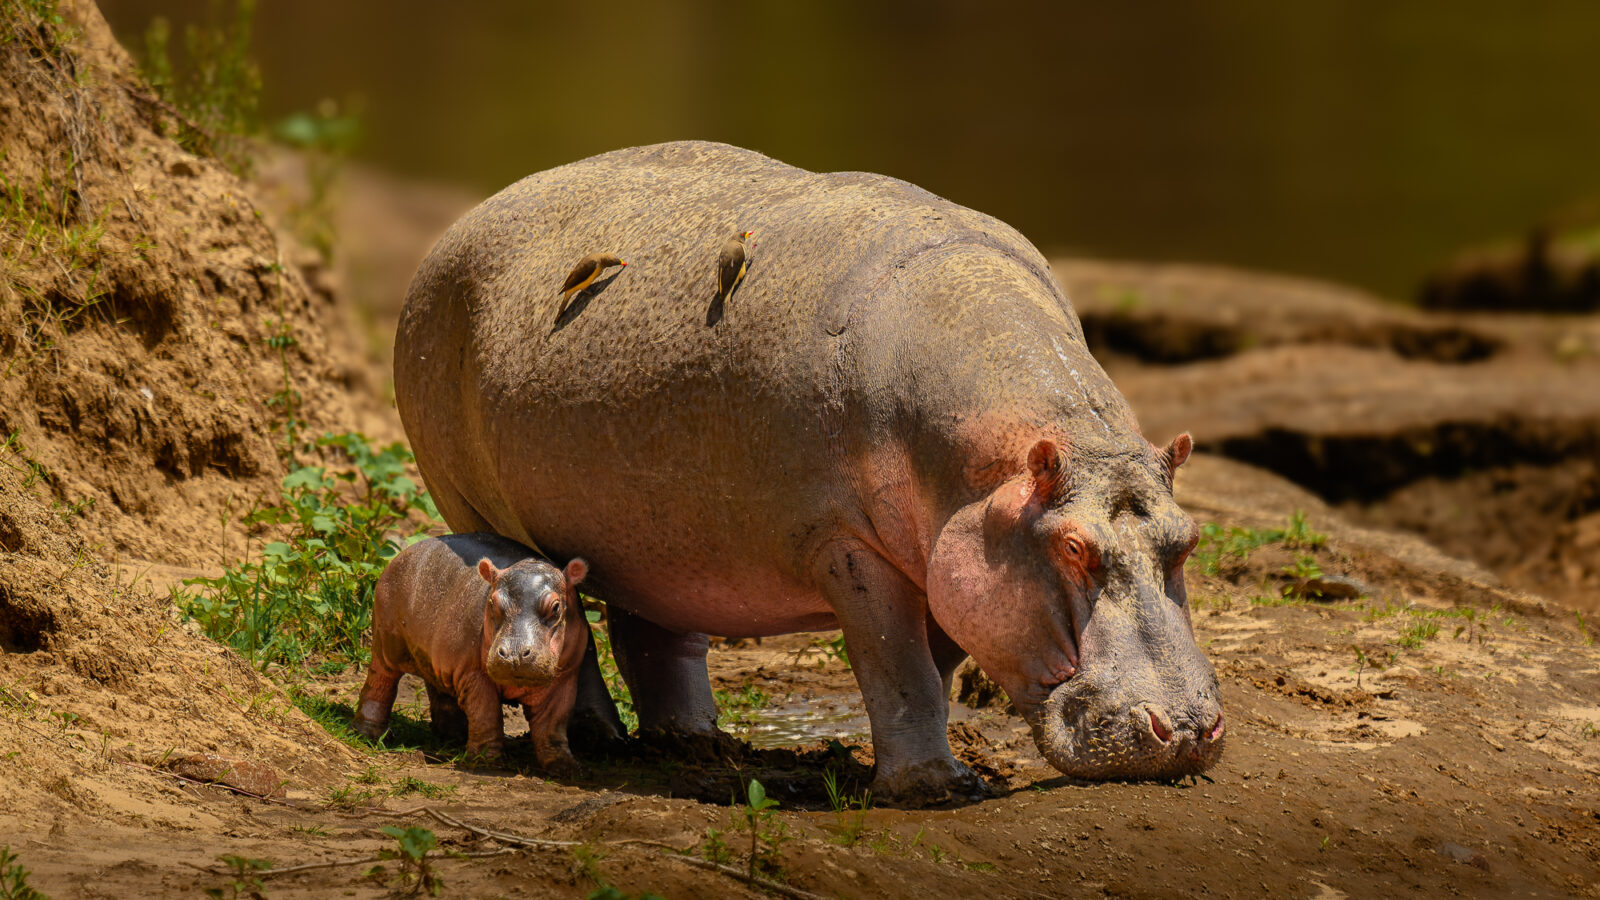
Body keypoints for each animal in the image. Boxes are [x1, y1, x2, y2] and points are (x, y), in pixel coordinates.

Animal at [352, 533, 595, 773]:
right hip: (386, 643)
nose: (514, 654)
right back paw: (370, 735)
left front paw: (564, 767)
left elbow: (552, 724)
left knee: (440, 692)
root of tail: (404, 552)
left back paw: (453, 738)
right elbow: (485, 713)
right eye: (492, 602)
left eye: (556, 607)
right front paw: (487, 761)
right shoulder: (473, 673)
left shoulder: (565, 678)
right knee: (380, 683)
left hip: (439, 659)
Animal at [395, 141, 1224, 800]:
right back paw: (599, 740)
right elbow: (900, 667)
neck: (1001, 471)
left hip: (657, 537)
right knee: (571, 627)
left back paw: (697, 743)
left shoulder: (942, 561)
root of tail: (458, 228)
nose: (1187, 730)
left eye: (1188, 538)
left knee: (653, 635)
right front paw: (935, 788)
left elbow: (938, 665)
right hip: (477, 506)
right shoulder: (848, 547)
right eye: (1072, 546)